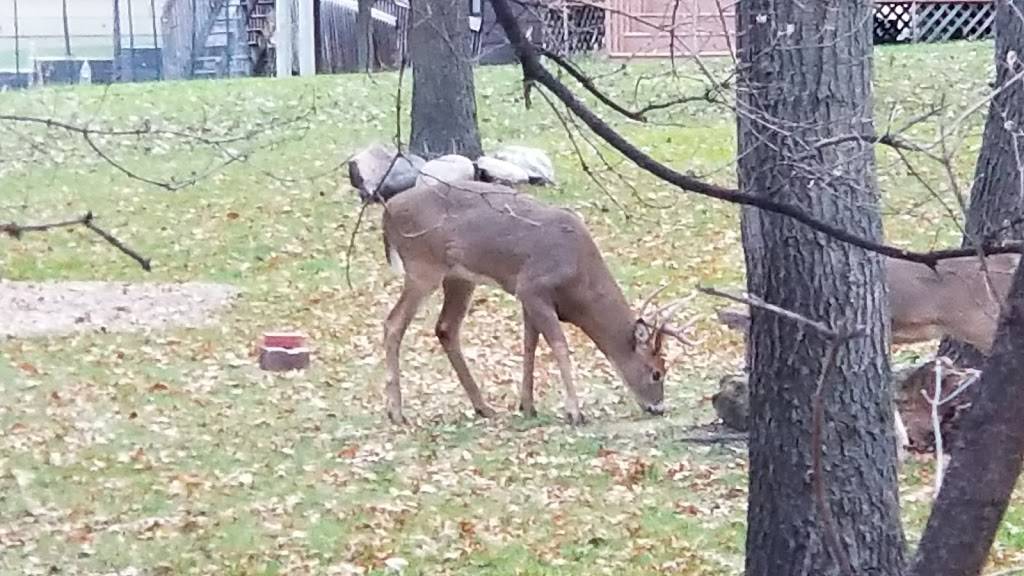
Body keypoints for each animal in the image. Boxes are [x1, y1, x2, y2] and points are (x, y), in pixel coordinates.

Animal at [378, 177, 696, 424]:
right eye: (656, 372)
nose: (658, 408)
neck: (578, 283)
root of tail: (387, 212)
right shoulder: (534, 287)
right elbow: (559, 345)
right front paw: (575, 413)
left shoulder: (526, 296)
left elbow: (529, 345)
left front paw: (528, 406)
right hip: (423, 266)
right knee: (393, 323)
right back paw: (397, 413)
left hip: (459, 277)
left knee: (445, 328)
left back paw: (484, 408)